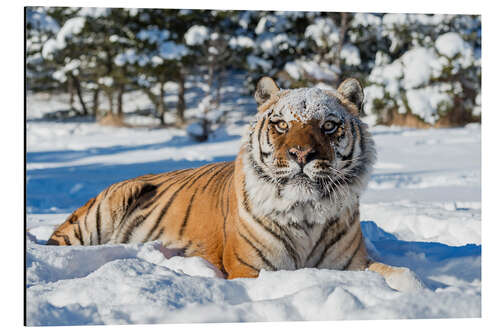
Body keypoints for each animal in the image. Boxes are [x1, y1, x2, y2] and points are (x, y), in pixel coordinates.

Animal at [47, 76, 424, 290]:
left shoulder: (351, 264)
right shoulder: (251, 268)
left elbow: (406, 276)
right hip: (100, 213)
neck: (306, 214)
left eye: (329, 126)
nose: (302, 154)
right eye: (282, 124)